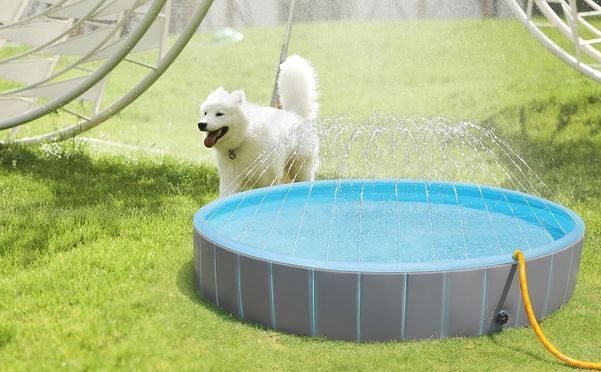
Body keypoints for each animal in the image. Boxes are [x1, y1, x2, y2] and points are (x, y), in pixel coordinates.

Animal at [197, 55, 318, 198]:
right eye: (205, 113)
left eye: (219, 114)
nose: (201, 124)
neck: (244, 138)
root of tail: (296, 114)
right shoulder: (230, 179)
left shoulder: (268, 177)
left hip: (301, 167)